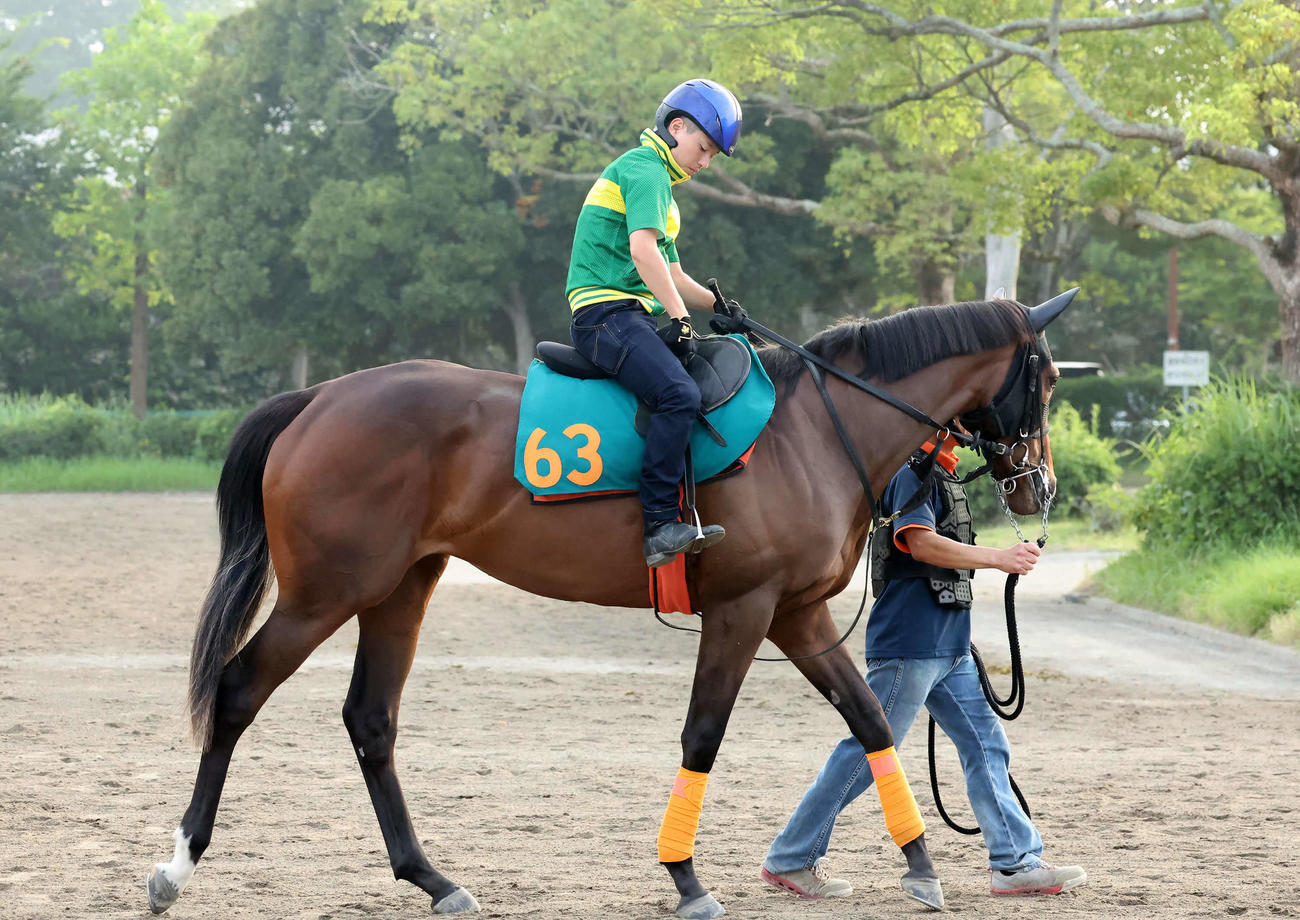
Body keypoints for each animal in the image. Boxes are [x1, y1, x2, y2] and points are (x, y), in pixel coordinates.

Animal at [146, 292, 1070, 919]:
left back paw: (434, 879)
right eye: (1049, 379)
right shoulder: (743, 610)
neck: (814, 431)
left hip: (401, 588)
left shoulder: (797, 614)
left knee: (370, 720)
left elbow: (872, 722)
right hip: (325, 594)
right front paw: (686, 878)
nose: (1042, 488)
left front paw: (920, 863)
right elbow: (703, 735)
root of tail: (320, 398)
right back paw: (177, 865)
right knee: (237, 691)